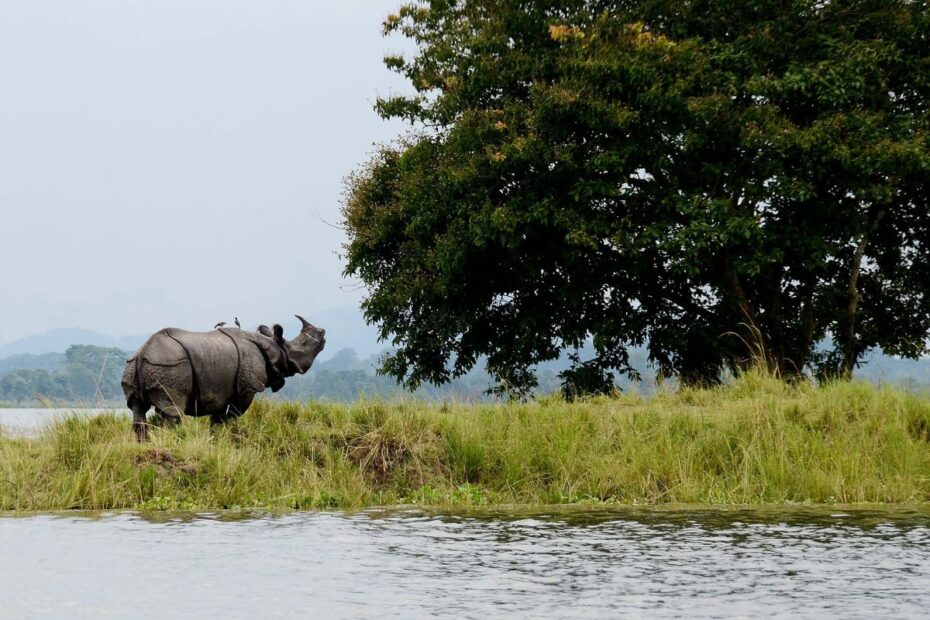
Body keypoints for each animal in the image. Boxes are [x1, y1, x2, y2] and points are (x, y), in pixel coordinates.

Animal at [122, 315, 325, 441]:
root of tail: (144, 352)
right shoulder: (248, 387)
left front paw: (215, 438)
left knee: (137, 407)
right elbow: (233, 414)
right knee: (173, 411)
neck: (273, 346)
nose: (323, 334)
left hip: (133, 366)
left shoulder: (221, 389)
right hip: (169, 366)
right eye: (303, 345)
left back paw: (144, 443)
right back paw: (172, 441)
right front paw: (230, 434)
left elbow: (217, 418)